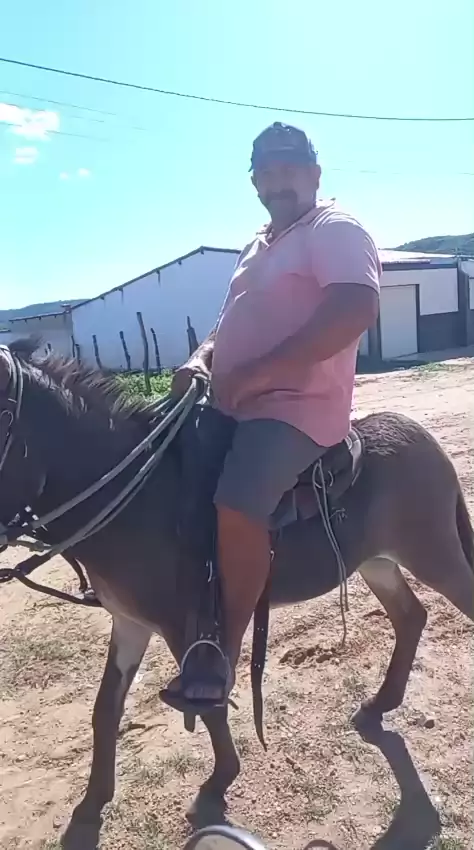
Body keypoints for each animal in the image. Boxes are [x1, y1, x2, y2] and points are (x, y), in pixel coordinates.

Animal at [0, 339, 473, 850]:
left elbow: (207, 706)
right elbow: (106, 708)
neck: (134, 498)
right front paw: (91, 805)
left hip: (432, 554)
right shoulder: (130, 623)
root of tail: (419, 434)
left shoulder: (182, 625)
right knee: (410, 617)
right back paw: (378, 706)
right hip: (378, 563)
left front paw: (219, 780)